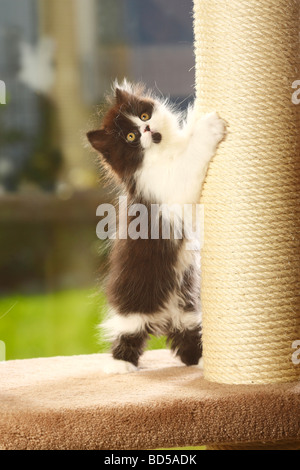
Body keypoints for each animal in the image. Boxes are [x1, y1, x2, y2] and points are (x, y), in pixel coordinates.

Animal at [86, 81, 225, 374]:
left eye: (144, 116)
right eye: (130, 137)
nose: (147, 129)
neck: (165, 153)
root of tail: (163, 320)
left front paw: (196, 114)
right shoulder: (169, 189)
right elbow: (192, 157)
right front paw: (209, 125)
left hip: (188, 313)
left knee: (188, 342)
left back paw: (201, 361)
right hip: (133, 310)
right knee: (128, 336)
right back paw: (121, 365)